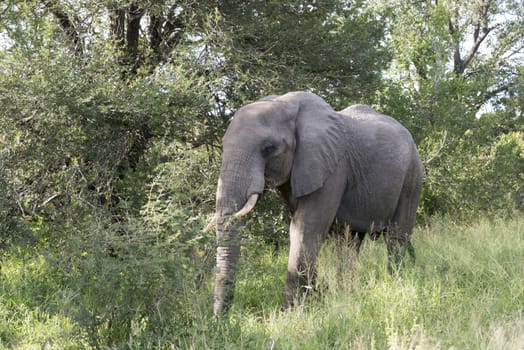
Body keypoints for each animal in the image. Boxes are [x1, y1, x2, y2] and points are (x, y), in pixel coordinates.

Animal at [207, 91, 424, 316]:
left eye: (268, 149)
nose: (219, 320)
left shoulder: (333, 168)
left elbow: (305, 229)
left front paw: (292, 313)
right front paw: (315, 300)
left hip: (412, 176)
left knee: (396, 237)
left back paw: (395, 283)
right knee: (348, 242)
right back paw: (348, 293)